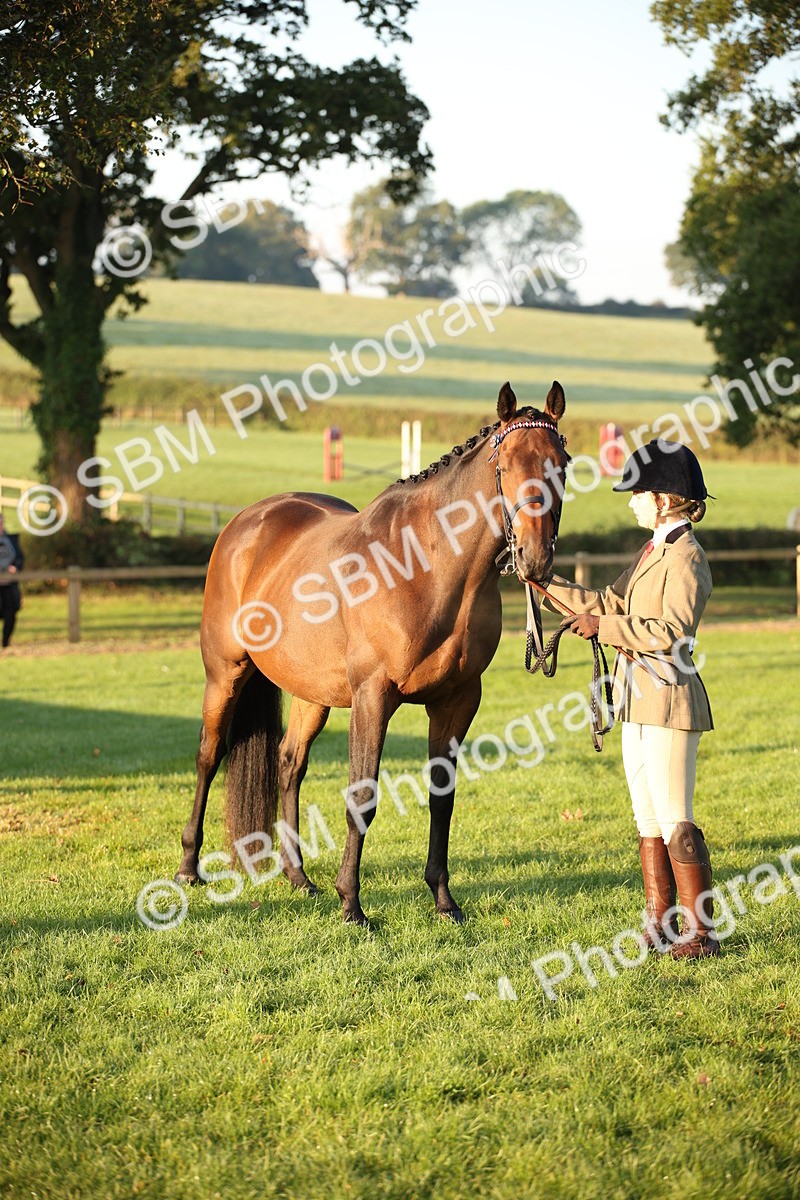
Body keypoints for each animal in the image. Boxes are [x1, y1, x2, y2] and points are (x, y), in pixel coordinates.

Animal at [175, 380, 569, 924]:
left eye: (563, 462)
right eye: (505, 465)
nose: (534, 558)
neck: (425, 568)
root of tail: (246, 523)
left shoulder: (458, 701)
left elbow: (442, 797)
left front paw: (443, 899)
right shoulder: (373, 697)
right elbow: (361, 797)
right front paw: (352, 904)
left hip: (312, 693)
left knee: (289, 763)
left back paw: (298, 876)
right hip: (225, 674)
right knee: (208, 756)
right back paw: (189, 868)